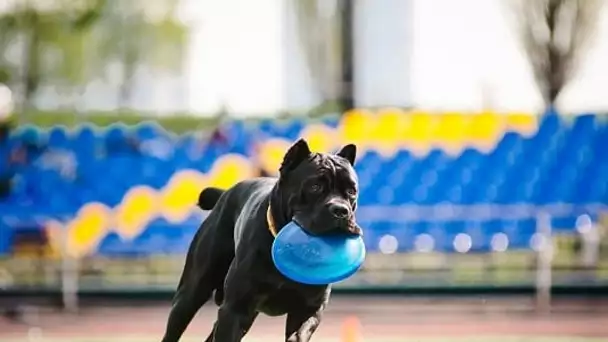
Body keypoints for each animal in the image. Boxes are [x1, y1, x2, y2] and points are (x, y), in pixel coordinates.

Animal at [162, 140, 360, 342]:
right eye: (315, 187)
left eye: (351, 191)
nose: (340, 210)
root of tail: (225, 193)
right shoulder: (235, 309)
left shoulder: (308, 310)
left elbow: (297, 335)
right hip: (191, 293)